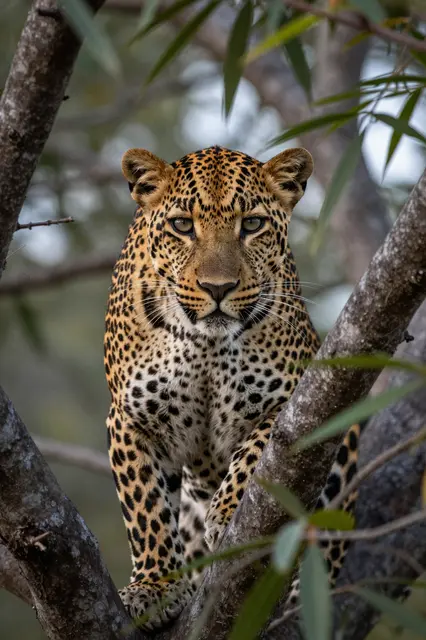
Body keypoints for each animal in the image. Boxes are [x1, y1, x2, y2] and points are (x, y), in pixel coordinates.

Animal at [104, 145, 360, 630]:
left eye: (253, 224)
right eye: (183, 226)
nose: (217, 288)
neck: (204, 342)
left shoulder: (296, 398)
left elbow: (258, 454)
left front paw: (226, 514)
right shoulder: (130, 417)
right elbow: (146, 509)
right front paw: (154, 587)